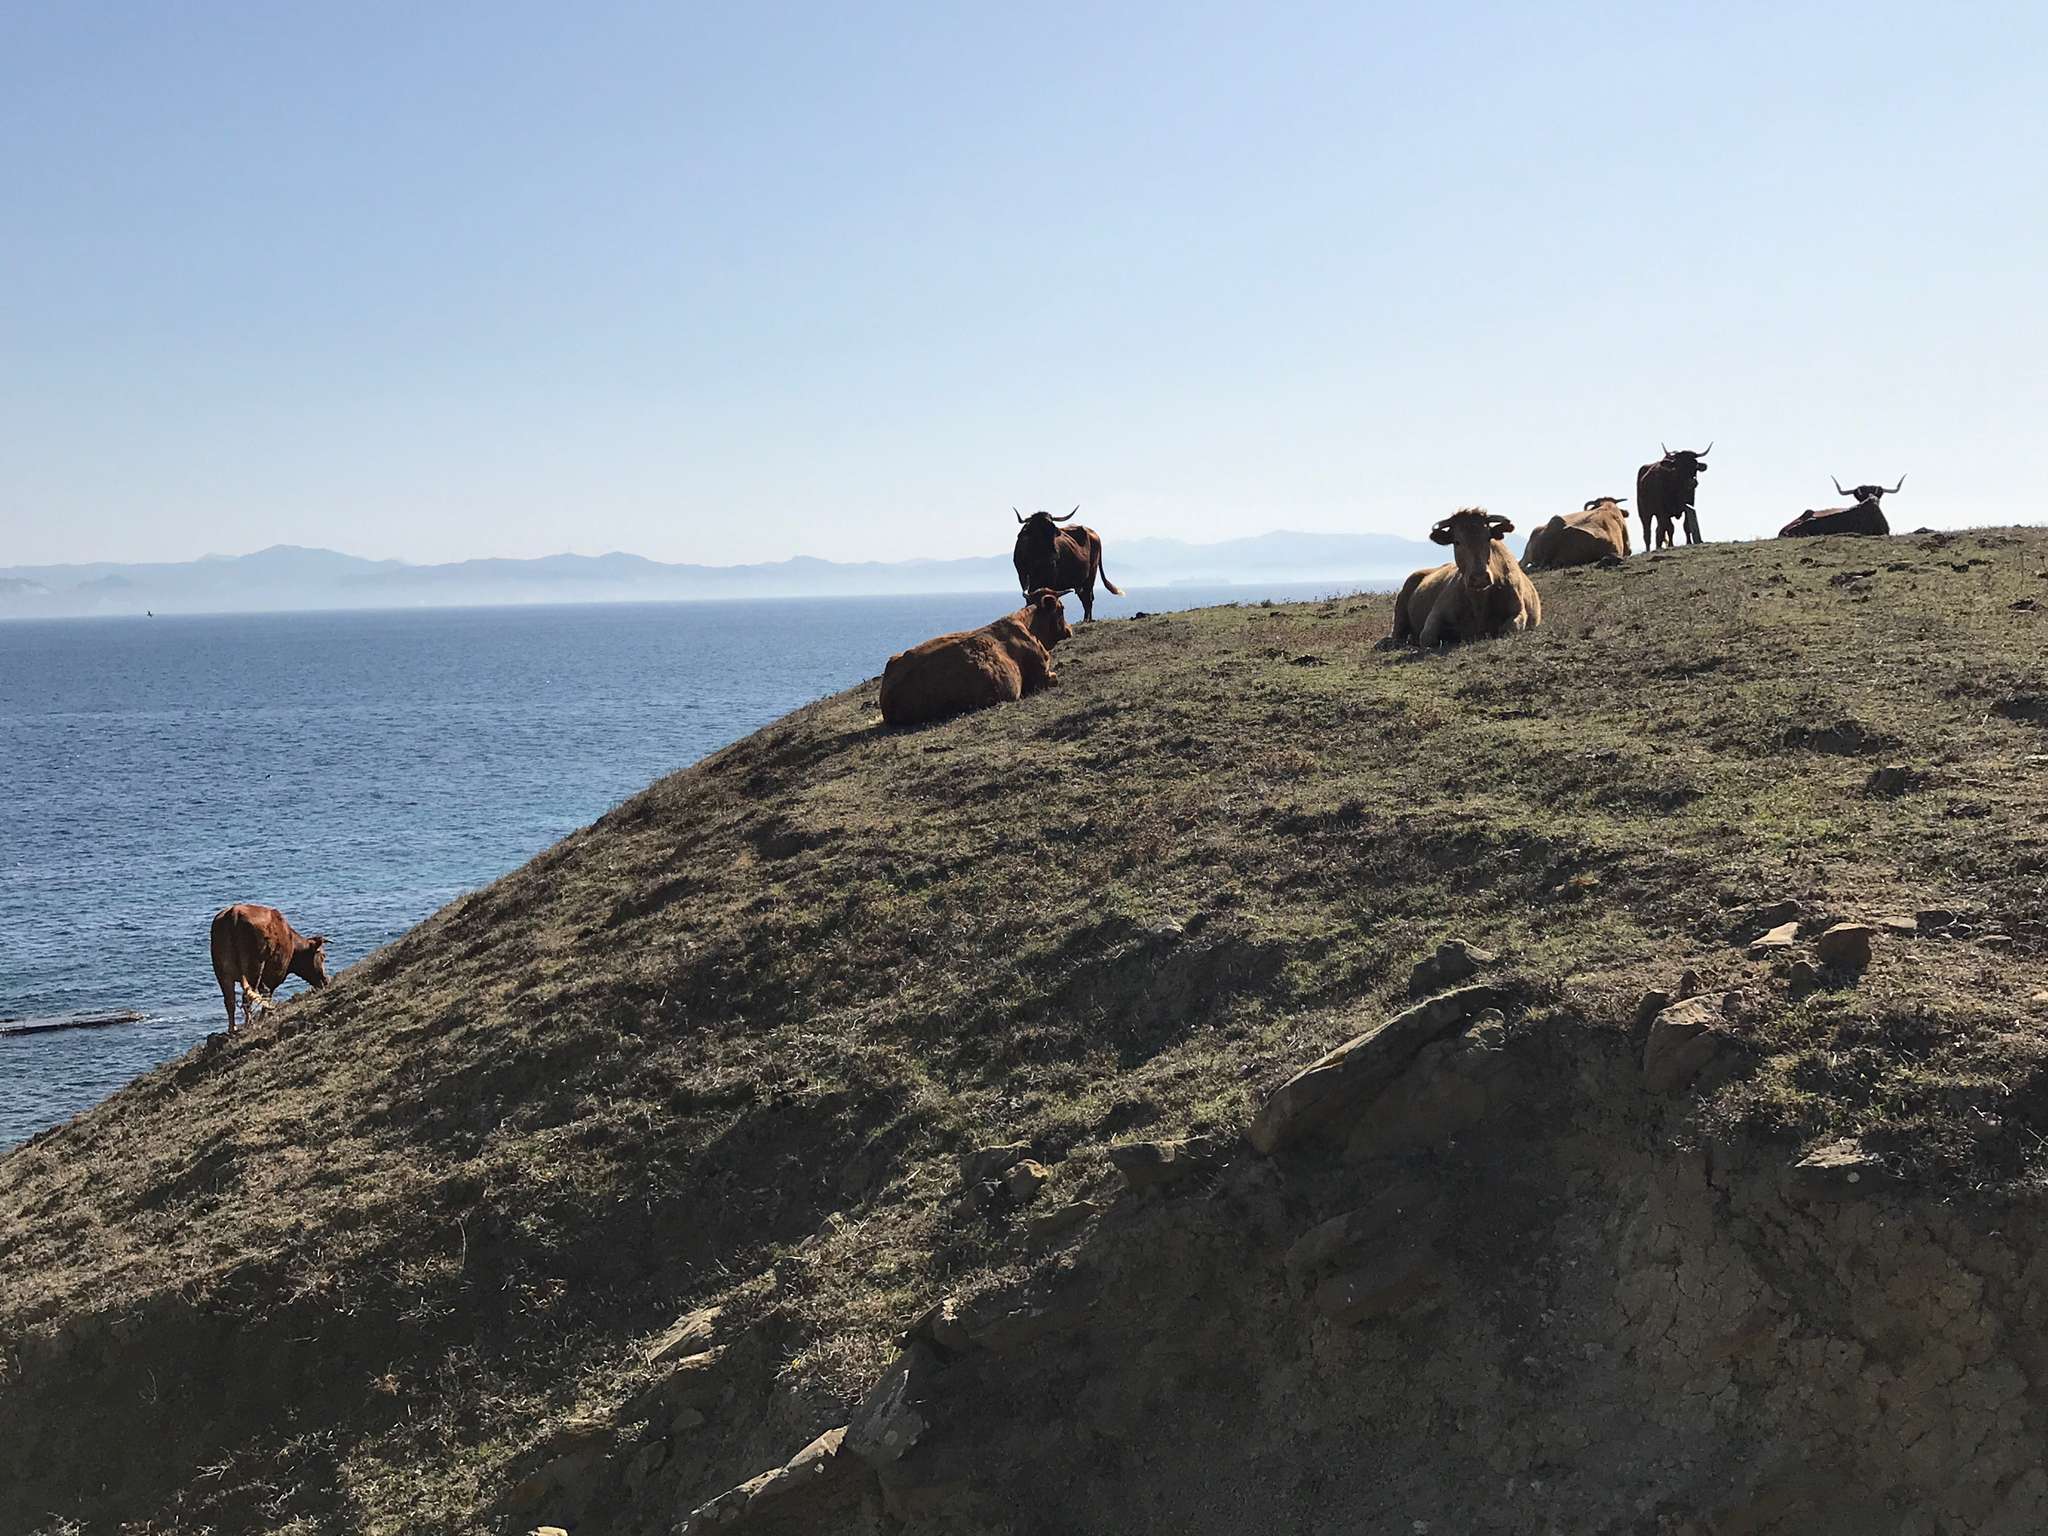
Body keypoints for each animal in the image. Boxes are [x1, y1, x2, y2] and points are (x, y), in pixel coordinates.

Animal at [210, 903, 328, 1033]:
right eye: (323, 956)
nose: (326, 980)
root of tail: (234, 912)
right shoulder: (273, 975)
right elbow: (267, 995)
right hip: (253, 970)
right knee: (247, 998)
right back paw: (249, 1024)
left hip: (222, 973)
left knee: (230, 1001)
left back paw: (233, 1028)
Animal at [1391, 508, 1542, 648]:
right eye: (1457, 541)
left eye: (1488, 537)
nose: (1479, 577)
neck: (1479, 601)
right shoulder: (1435, 614)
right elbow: (1428, 638)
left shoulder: (1518, 611)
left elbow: (1507, 628)